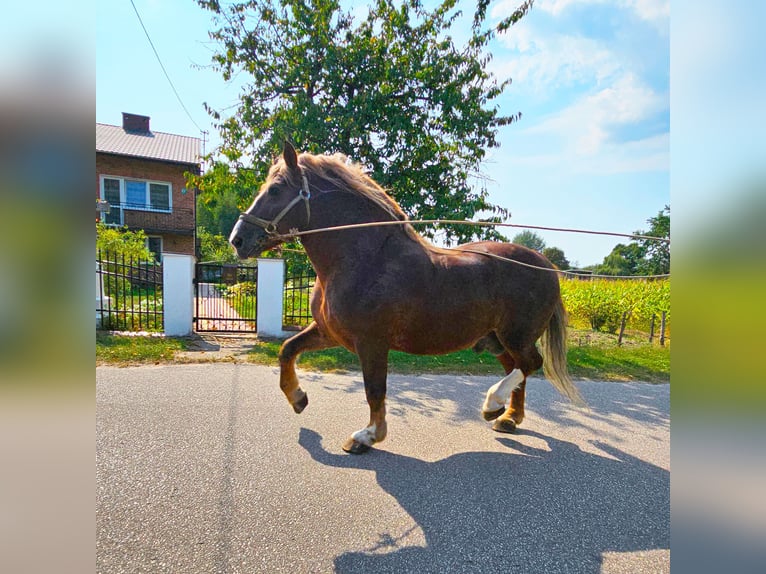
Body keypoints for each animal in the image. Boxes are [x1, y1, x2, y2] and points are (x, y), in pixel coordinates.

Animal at [231, 143, 584, 454]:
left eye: (276, 189)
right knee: (518, 369)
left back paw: (493, 403)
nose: (237, 239)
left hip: (516, 336)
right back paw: (507, 417)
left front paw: (367, 436)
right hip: (497, 340)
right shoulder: (331, 333)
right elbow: (288, 350)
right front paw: (298, 398)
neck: (364, 259)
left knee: (530, 364)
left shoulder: (372, 342)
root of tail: (547, 265)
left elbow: (374, 389)